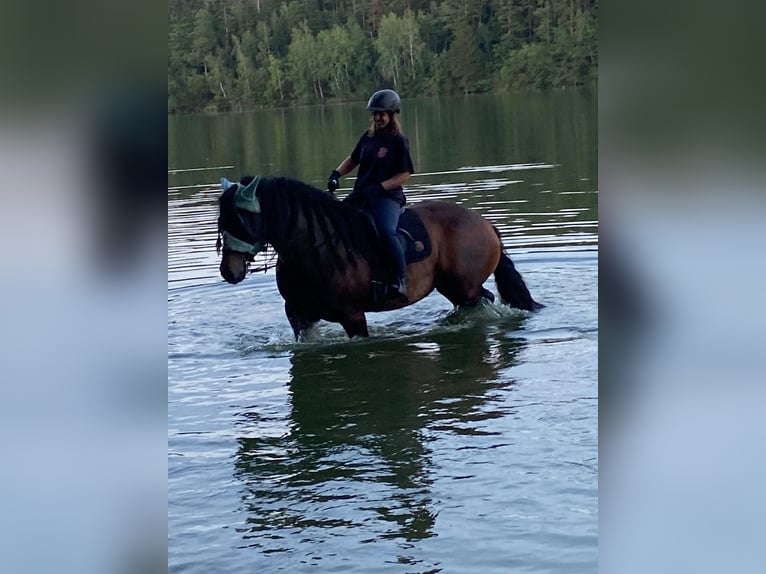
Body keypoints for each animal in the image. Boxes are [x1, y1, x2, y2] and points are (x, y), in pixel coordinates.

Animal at [216, 174, 540, 338]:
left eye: (243, 216)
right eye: (222, 219)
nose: (229, 271)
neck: (313, 250)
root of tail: (485, 223)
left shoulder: (353, 316)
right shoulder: (298, 316)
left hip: (465, 287)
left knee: (484, 299)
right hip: (452, 288)